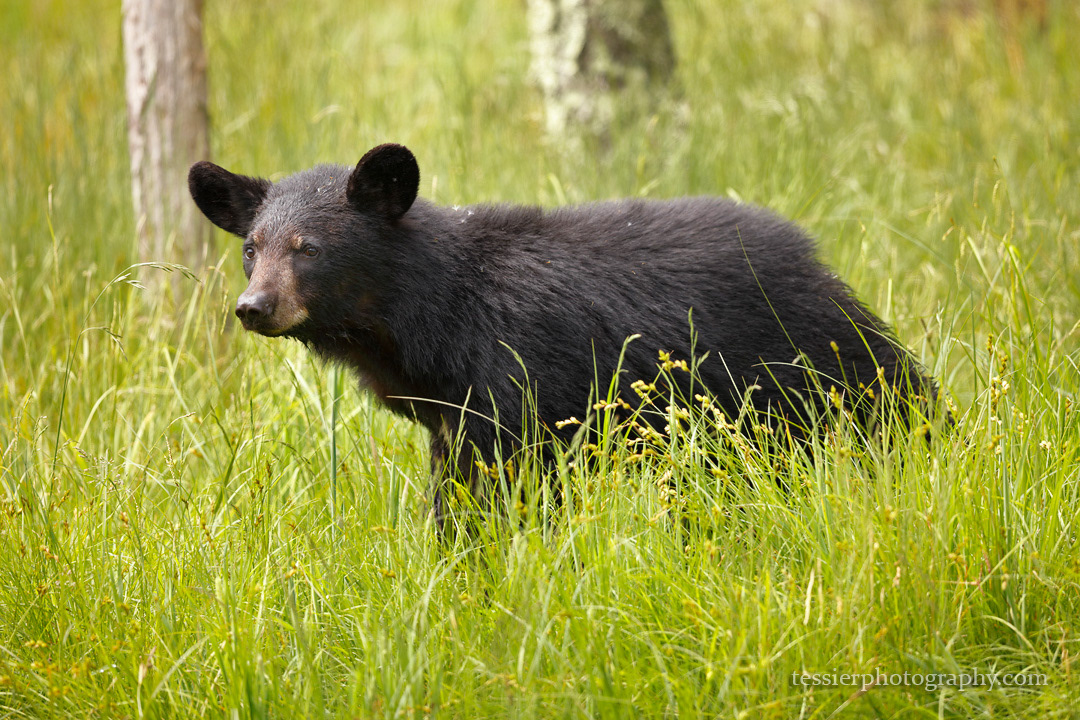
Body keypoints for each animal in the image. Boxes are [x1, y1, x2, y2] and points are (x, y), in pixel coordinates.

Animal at [190, 142, 941, 524]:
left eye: (308, 247)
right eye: (252, 247)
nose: (253, 306)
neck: (433, 319)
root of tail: (816, 257)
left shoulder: (522, 382)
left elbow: (511, 486)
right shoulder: (452, 413)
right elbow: (456, 486)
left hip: (805, 363)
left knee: (892, 406)